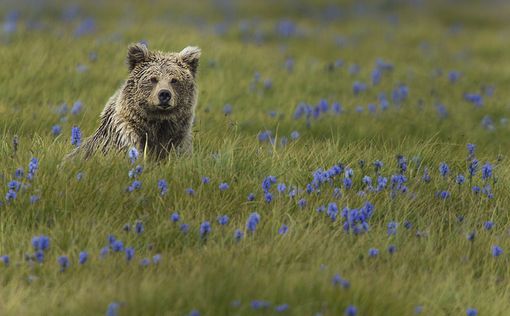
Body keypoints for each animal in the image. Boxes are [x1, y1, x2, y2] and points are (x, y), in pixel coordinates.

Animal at [67, 43, 201, 160]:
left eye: (174, 80)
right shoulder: (125, 137)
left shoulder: (179, 138)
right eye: (153, 79)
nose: (164, 94)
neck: (157, 125)